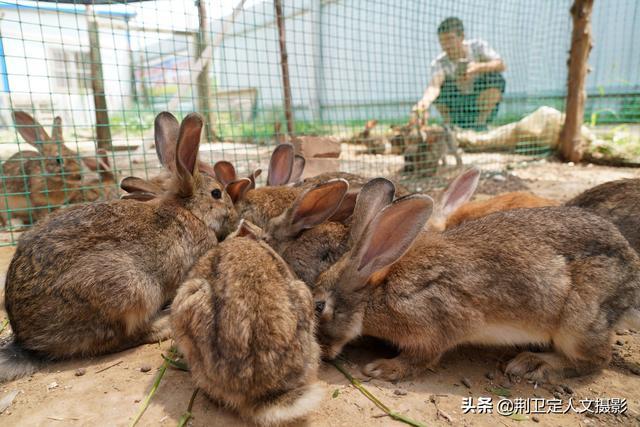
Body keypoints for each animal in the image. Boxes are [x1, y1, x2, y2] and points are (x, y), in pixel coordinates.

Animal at [312, 179, 640, 382]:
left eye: (319, 306)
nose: (322, 356)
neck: (374, 292)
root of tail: (632, 282)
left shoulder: (436, 324)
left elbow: (422, 357)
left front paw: (384, 368)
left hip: (577, 324)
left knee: (598, 360)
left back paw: (533, 363)